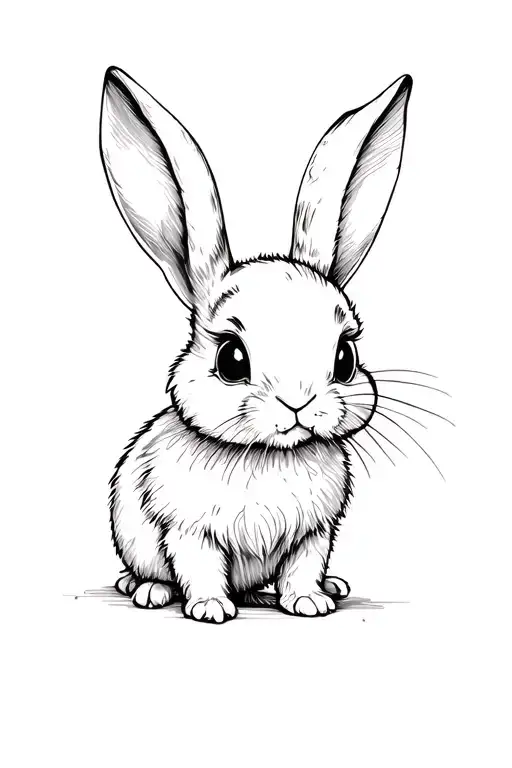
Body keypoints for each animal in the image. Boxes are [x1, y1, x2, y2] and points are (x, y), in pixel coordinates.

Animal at [100, 67, 412, 622]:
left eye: (345, 357)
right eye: (231, 359)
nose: (299, 402)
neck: (269, 456)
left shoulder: (314, 533)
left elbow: (302, 566)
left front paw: (309, 601)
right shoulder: (188, 530)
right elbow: (199, 566)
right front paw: (209, 609)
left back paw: (321, 588)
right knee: (145, 573)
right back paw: (150, 591)